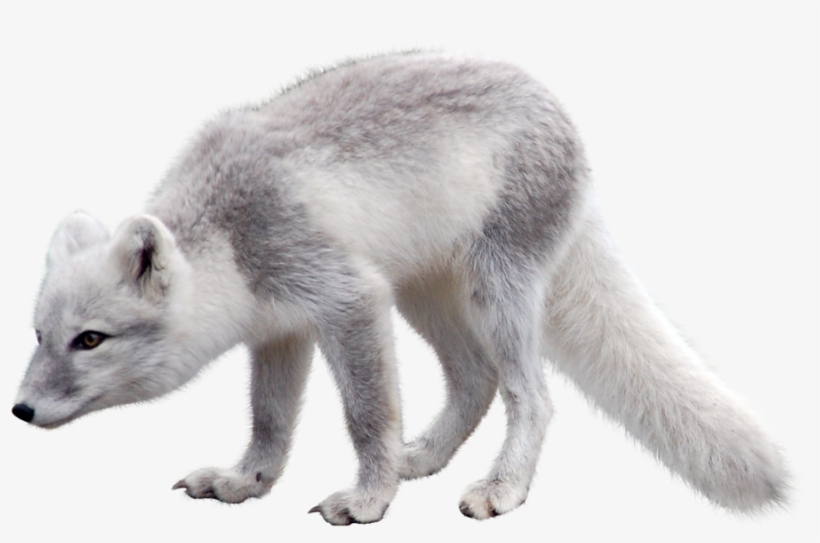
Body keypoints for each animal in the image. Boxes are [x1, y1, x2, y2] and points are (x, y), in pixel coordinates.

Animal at [12, 52, 787, 525]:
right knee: (474, 380)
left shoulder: (348, 298)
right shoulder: (279, 329)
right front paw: (246, 482)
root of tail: (549, 100)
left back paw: (502, 488)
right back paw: (427, 459)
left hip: (495, 292)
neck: (228, 227)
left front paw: (368, 499)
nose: (19, 410)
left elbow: (366, 414)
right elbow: (270, 421)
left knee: (530, 395)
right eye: (40, 336)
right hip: (425, 296)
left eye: (91, 340)